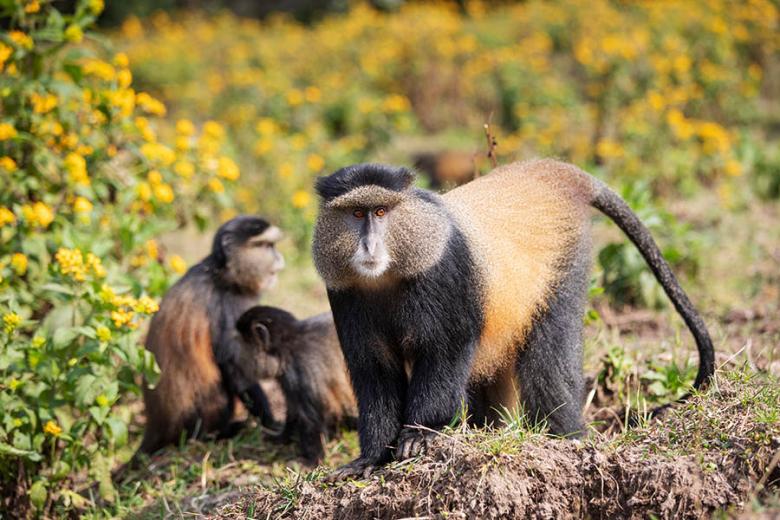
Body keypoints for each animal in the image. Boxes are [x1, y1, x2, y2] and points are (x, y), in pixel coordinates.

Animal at [137, 216, 286, 456]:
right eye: (265, 245)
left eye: (272, 245)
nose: (279, 258)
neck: (222, 273)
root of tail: (155, 429)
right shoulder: (227, 305)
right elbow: (234, 367)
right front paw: (272, 423)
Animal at [234, 306, 357, 464]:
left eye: (242, 345)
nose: (236, 357)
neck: (287, 348)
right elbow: (293, 409)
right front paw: (281, 437)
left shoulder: (300, 367)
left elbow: (309, 417)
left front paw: (313, 460)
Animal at [311, 159, 715, 479]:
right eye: (357, 214)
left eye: (381, 212)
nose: (369, 246)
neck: (390, 274)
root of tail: (547, 173)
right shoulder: (346, 294)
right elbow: (374, 370)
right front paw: (370, 458)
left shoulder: (444, 272)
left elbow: (446, 349)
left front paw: (421, 433)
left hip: (564, 266)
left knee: (549, 365)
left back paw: (566, 439)